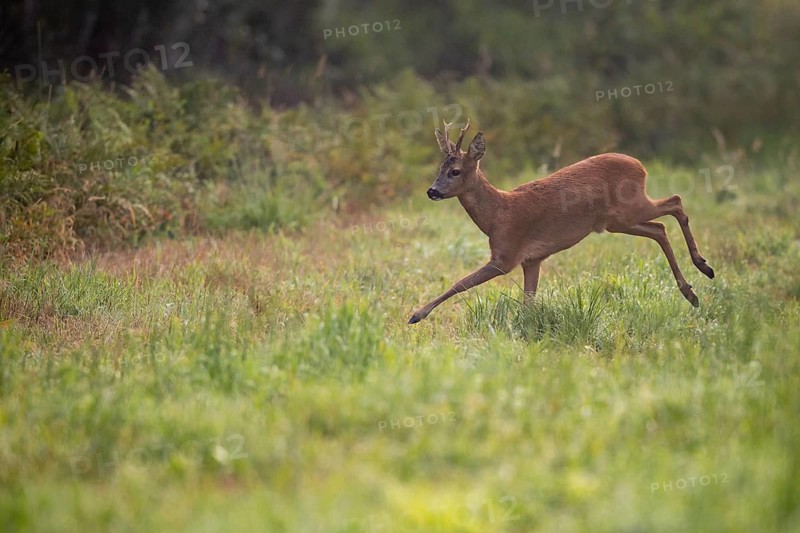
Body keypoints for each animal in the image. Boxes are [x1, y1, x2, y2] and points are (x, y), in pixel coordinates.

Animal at [408, 120, 715, 324]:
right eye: (439, 169)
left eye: (456, 171)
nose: (432, 191)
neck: (497, 215)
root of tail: (641, 166)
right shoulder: (532, 259)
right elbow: (528, 302)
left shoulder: (505, 256)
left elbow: (459, 283)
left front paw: (417, 314)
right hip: (616, 221)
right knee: (660, 227)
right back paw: (694, 287)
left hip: (629, 210)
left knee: (674, 202)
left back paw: (701, 271)